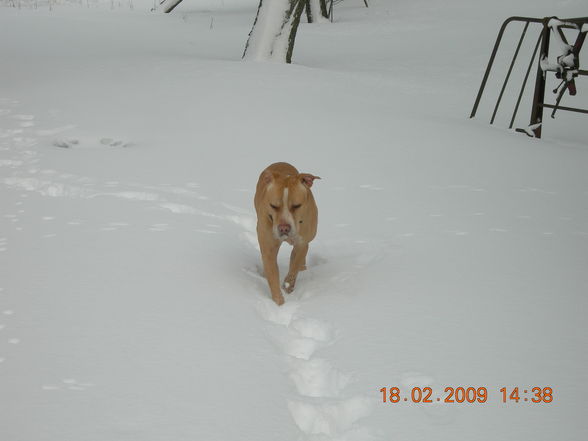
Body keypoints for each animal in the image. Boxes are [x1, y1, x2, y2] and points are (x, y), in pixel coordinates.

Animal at [253, 162, 320, 306]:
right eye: (273, 205)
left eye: (297, 205)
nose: (284, 228)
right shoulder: (269, 247)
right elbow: (272, 275)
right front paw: (279, 302)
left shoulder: (301, 244)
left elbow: (294, 266)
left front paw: (288, 285)